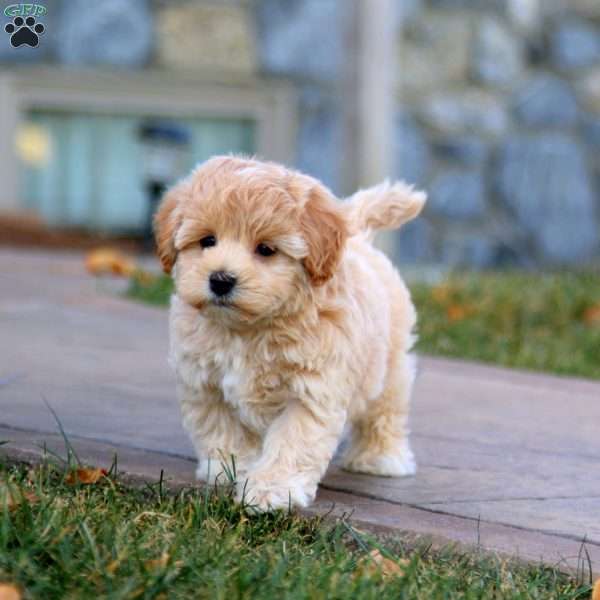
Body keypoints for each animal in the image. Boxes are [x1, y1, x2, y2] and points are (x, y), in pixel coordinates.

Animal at [155, 155, 426, 510]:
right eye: (207, 241)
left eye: (266, 249)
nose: (221, 280)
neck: (249, 328)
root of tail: (359, 239)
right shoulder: (204, 384)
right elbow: (222, 431)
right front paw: (230, 470)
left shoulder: (311, 391)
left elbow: (292, 443)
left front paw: (270, 489)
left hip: (390, 366)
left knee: (385, 410)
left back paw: (381, 457)